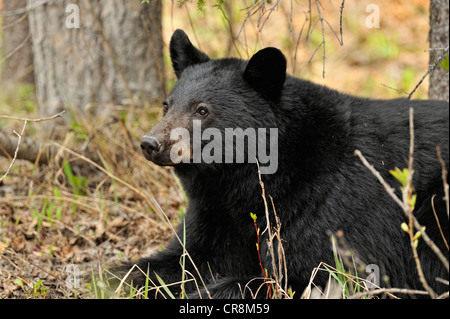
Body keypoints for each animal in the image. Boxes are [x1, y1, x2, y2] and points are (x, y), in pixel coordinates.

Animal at [127, 30, 450, 300]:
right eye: (167, 105)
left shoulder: (326, 206)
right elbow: (178, 259)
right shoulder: (215, 212)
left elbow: (318, 272)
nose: (150, 143)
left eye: (202, 110)